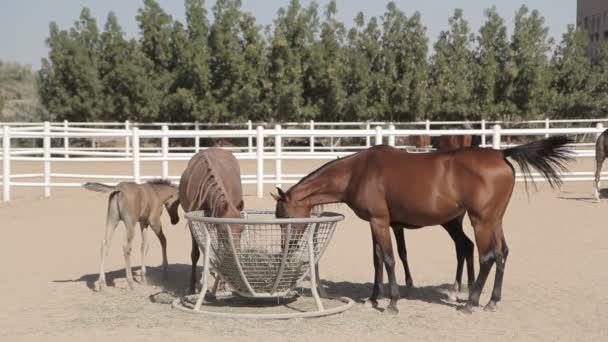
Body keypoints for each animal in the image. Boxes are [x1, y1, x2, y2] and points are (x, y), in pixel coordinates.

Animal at [177, 147, 243, 294]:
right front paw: (192, 286)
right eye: (225, 231)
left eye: (242, 230)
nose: (235, 255)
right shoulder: (194, 222)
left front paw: (222, 284)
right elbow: (195, 253)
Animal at [274, 137, 572, 316]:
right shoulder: (375, 224)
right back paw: (491, 301)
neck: (357, 172)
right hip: (493, 221)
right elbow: (377, 259)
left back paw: (470, 302)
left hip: (481, 221)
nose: (287, 247)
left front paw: (392, 302)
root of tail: (500, 153)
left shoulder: (380, 222)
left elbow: (389, 259)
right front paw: (373, 297)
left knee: (487, 256)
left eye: (283, 217)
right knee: (501, 254)